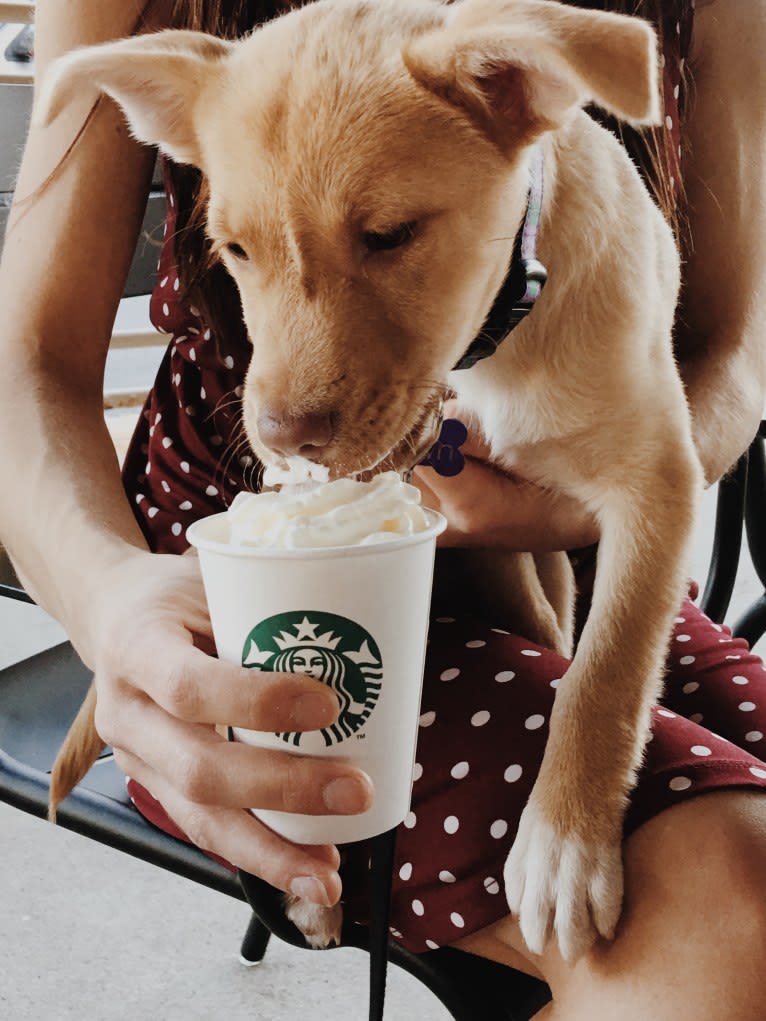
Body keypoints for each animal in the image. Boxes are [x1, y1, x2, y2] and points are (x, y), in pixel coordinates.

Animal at [39, 0, 706, 963]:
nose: (281, 438)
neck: (492, 346)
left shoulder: (661, 476)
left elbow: (609, 663)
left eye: (390, 235)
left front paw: (566, 843)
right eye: (235, 249)